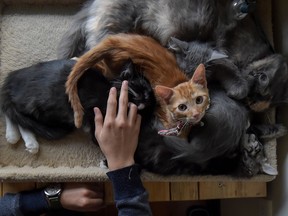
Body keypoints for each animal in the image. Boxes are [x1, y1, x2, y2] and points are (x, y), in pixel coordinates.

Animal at [0, 59, 155, 154]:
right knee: (15, 115)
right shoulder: (96, 122)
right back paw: (19, 138)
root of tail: (12, 78)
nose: (147, 97)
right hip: (38, 107)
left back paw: (22, 139)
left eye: (149, 93)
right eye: (141, 87)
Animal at [65, 34, 209, 138]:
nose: (196, 114)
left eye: (199, 100)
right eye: (182, 107)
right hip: (111, 69)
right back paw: (75, 59)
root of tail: (116, 41)